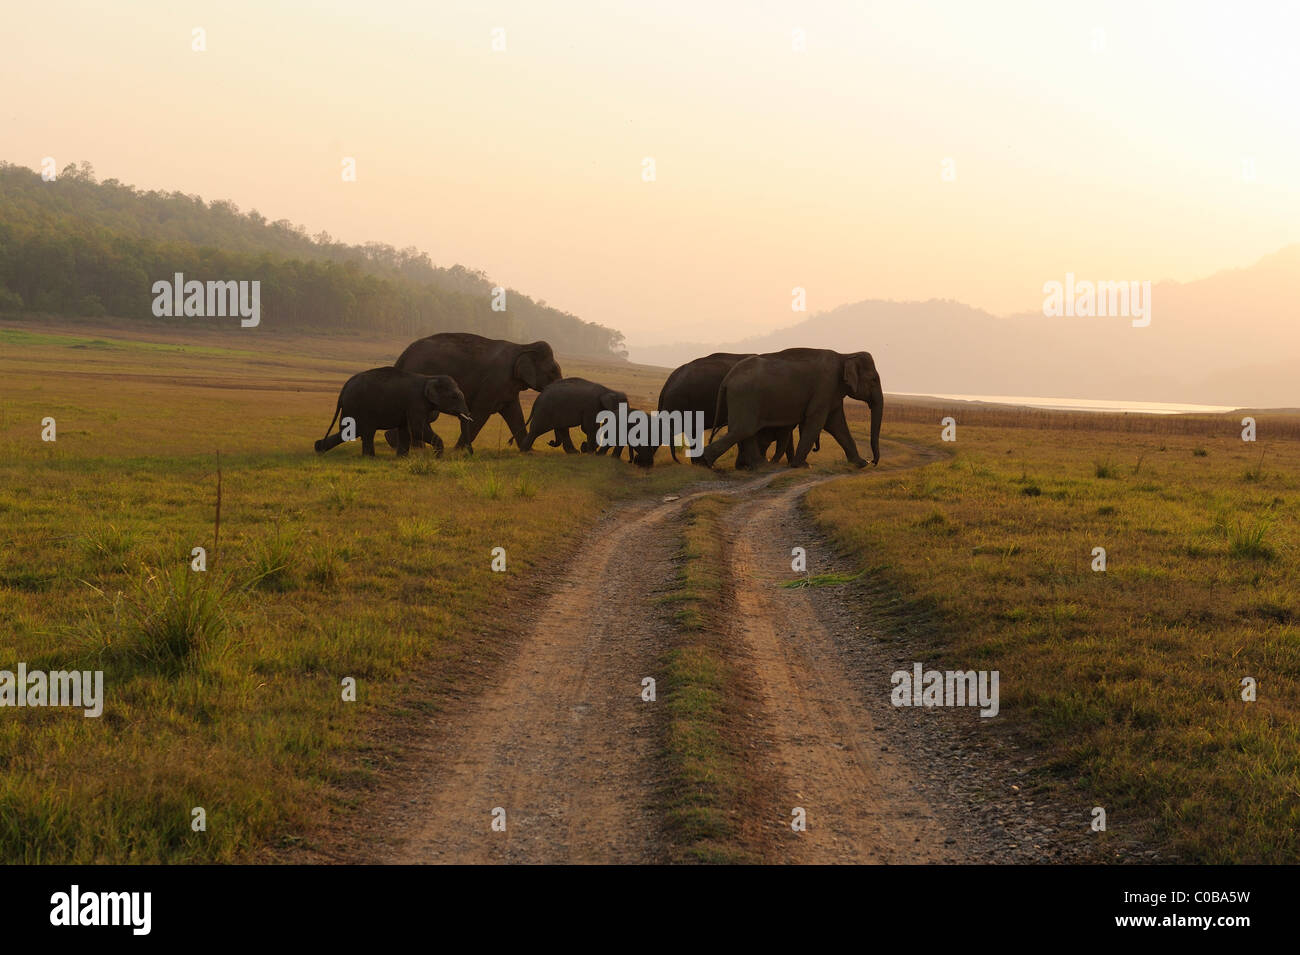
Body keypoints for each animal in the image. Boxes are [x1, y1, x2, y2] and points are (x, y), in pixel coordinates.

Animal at [315, 369, 473, 457]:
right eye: (455, 397)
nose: (470, 455)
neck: (429, 377)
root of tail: (344, 387)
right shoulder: (416, 402)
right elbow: (417, 428)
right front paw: (439, 457)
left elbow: (406, 428)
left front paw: (402, 458)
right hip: (360, 406)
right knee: (364, 431)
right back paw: (370, 457)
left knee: (352, 431)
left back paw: (318, 448)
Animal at [390, 335, 564, 454]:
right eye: (553, 372)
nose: (550, 442)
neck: (523, 347)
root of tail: (404, 354)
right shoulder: (494, 381)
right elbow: (480, 413)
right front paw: (459, 450)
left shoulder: (508, 387)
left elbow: (515, 414)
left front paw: (528, 451)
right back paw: (417, 449)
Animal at [702, 350, 883, 470]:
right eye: (874, 379)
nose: (873, 462)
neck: (845, 355)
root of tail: (728, 378)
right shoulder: (825, 386)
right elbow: (817, 421)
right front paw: (802, 465)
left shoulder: (832, 392)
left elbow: (837, 425)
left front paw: (859, 463)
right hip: (745, 396)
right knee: (743, 429)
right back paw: (706, 462)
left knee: (745, 431)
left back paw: (757, 465)